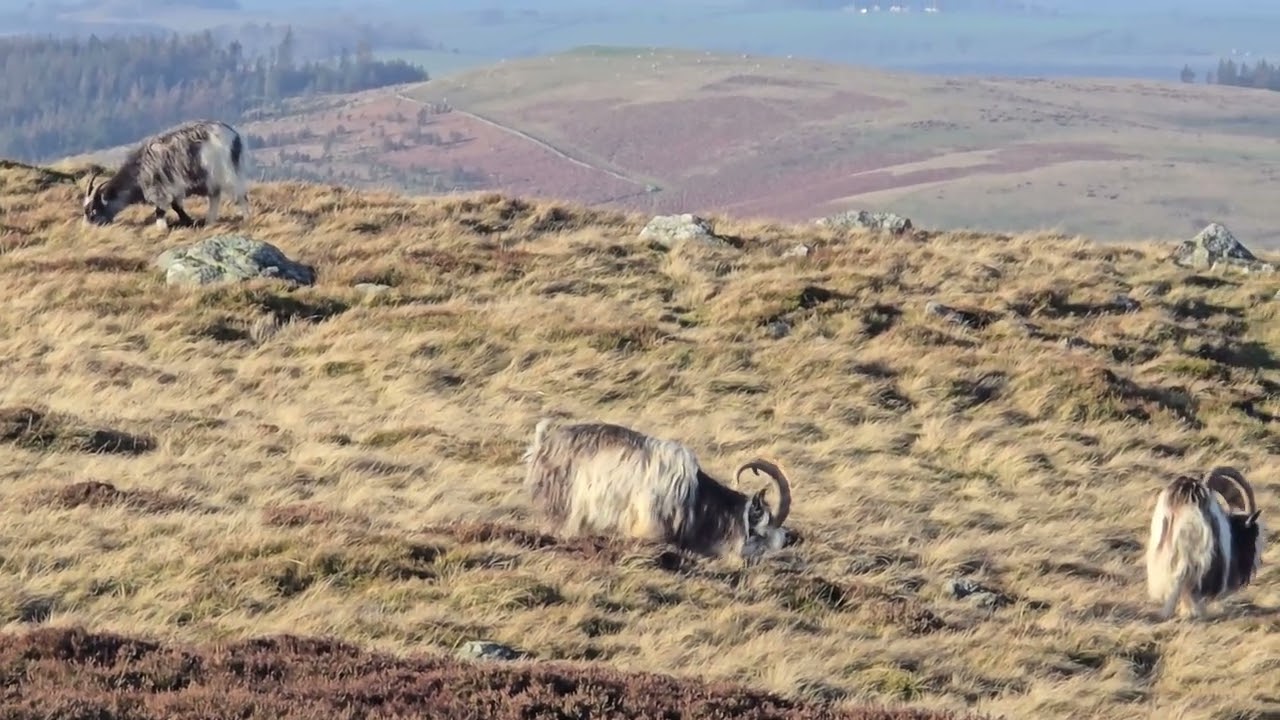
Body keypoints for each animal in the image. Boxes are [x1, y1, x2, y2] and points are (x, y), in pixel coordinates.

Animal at [82, 119, 251, 229]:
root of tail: (235, 137)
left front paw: (162, 227)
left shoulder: (162, 188)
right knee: (215, 196)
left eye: (94, 209)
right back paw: (209, 222)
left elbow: (161, 209)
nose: (88, 227)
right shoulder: (173, 188)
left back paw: (246, 218)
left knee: (240, 194)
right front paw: (189, 222)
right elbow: (177, 207)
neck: (139, 171)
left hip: (226, 171)